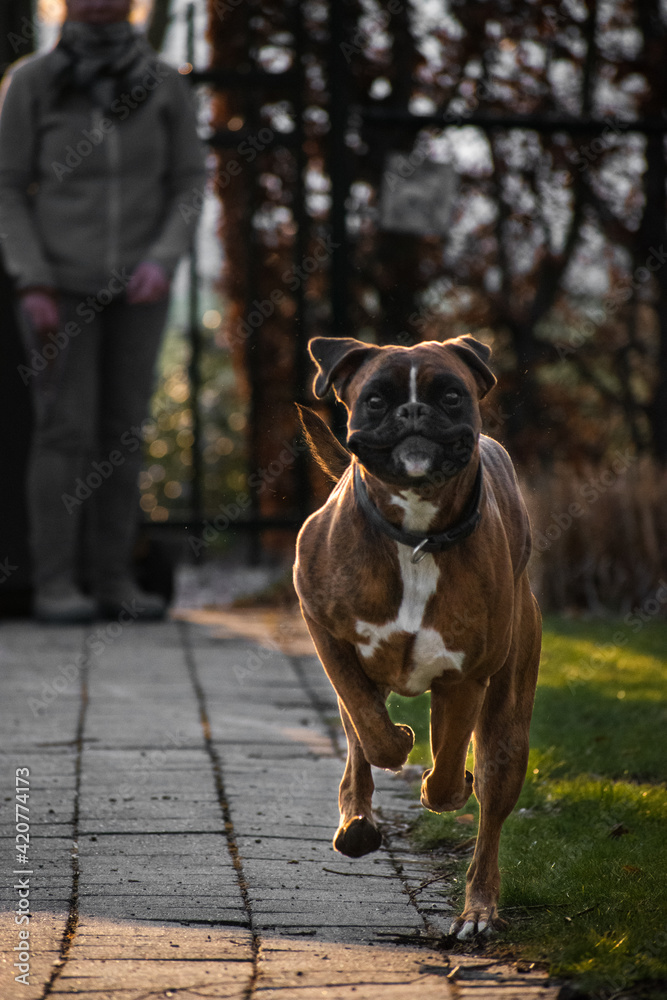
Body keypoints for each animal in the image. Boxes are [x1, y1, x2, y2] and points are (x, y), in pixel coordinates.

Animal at [294, 336, 544, 936]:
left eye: (450, 395)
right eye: (376, 399)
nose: (412, 411)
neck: (415, 534)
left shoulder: (466, 676)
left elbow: (450, 757)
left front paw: (440, 788)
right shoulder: (323, 628)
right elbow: (370, 726)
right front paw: (399, 745)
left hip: (509, 727)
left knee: (489, 817)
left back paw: (478, 910)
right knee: (358, 738)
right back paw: (357, 822)